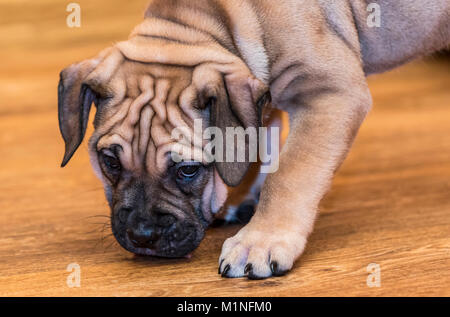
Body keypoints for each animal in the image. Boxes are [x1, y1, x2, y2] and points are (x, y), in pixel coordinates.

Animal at [58, 0, 448, 276]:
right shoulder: (263, 99)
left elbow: (289, 174)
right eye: (110, 162)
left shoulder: (329, 92)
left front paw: (261, 240)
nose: (142, 235)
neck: (217, 22)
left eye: (187, 170)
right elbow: (259, 148)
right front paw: (243, 198)